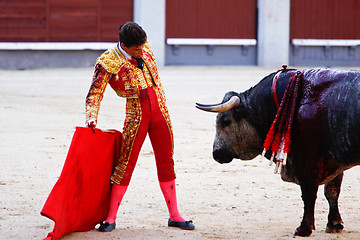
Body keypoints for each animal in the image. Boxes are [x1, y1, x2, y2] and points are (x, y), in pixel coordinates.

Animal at [195, 67, 360, 236]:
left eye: (225, 121)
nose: (216, 154)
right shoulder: (334, 160)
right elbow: (332, 191)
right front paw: (334, 224)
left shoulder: (307, 161)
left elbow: (309, 193)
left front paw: (304, 228)